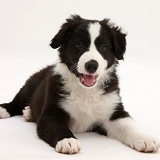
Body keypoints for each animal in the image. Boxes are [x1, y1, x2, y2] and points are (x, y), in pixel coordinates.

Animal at [0, 15, 159, 154]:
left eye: (103, 47)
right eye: (79, 44)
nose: (91, 65)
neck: (86, 91)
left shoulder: (114, 111)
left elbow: (128, 125)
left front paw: (144, 139)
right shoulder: (51, 112)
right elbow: (57, 127)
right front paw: (67, 140)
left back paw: (28, 112)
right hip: (30, 84)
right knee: (18, 100)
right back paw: (6, 109)